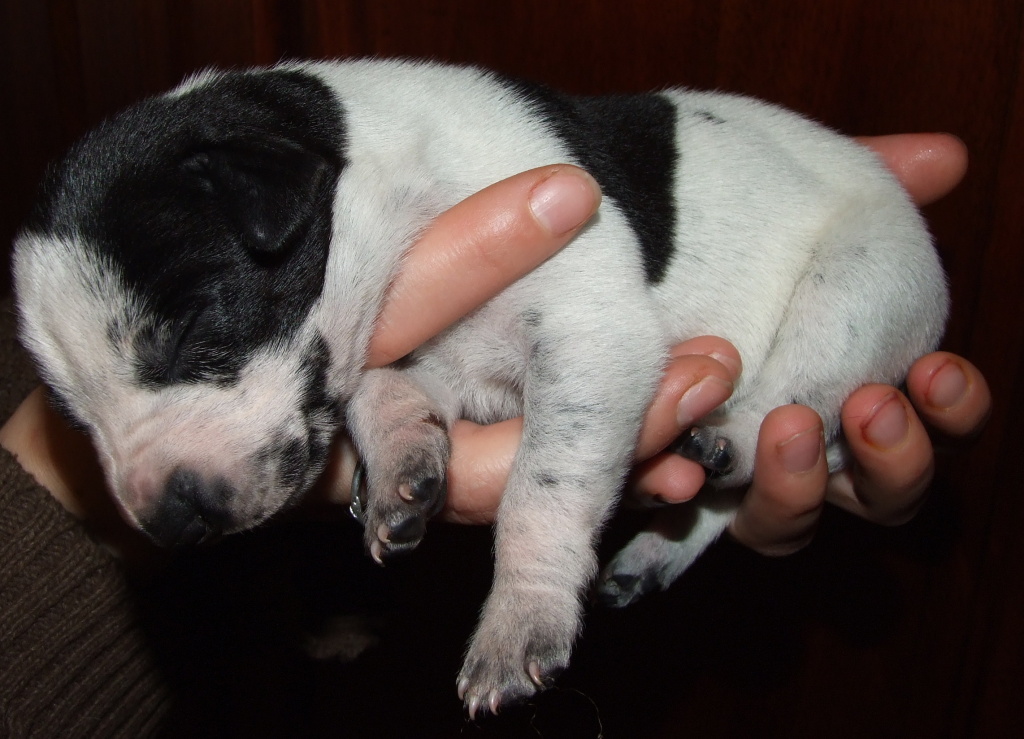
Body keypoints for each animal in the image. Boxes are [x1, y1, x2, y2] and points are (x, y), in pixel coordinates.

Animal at [13, 59, 948, 716]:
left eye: (193, 328)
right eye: (71, 413)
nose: (168, 521)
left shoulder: (589, 334)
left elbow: (544, 488)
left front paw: (519, 617)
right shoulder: (408, 347)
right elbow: (380, 391)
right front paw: (400, 463)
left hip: (861, 287)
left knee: (794, 405)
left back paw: (730, 436)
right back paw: (655, 549)